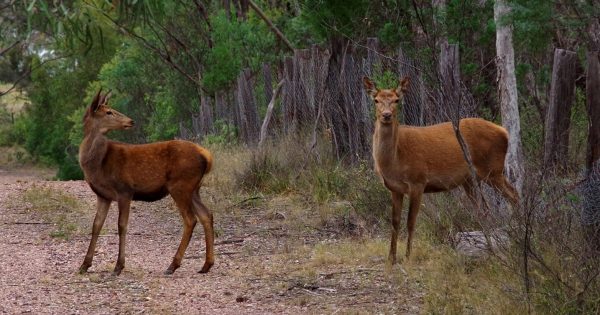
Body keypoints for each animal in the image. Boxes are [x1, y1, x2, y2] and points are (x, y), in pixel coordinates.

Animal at [77, 89, 213, 276]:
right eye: (108, 112)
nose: (130, 121)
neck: (98, 164)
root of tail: (207, 156)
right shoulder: (103, 195)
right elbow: (96, 225)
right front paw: (84, 265)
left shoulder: (124, 190)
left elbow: (122, 225)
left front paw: (119, 266)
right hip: (194, 189)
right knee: (207, 215)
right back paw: (206, 265)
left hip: (180, 185)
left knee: (190, 219)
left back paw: (173, 265)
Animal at [364, 77, 516, 266]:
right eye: (376, 100)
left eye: (397, 100)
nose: (386, 115)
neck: (395, 160)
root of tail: (504, 131)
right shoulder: (395, 188)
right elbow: (395, 222)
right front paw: (391, 258)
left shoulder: (418, 181)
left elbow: (411, 221)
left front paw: (408, 257)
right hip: (470, 180)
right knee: (483, 211)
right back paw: (489, 248)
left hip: (493, 169)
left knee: (514, 195)